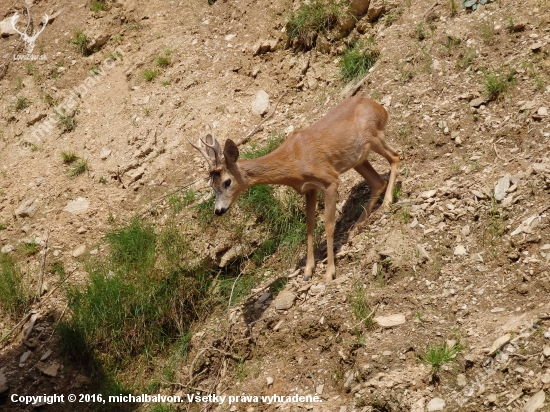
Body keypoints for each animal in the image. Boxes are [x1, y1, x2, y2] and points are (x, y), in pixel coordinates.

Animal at [191, 96, 402, 282]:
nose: (218, 210)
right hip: (357, 158)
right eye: (211, 185)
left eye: (227, 182)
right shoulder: (309, 188)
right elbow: (309, 225)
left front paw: (329, 273)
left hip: (374, 137)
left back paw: (386, 206)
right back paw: (356, 228)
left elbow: (328, 225)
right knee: (377, 181)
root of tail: (381, 109)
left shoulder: (330, 180)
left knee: (395, 156)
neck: (293, 161)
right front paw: (308, 271)